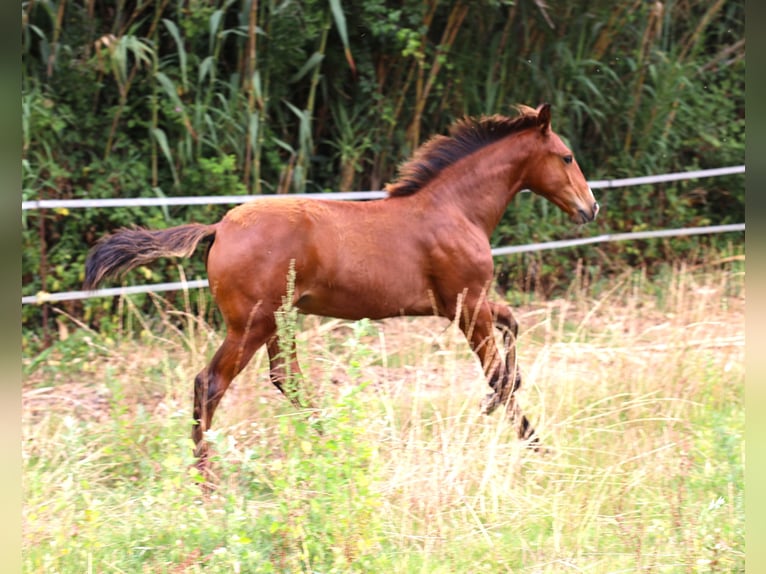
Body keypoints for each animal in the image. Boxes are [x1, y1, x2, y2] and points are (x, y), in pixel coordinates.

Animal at [84, 103, 599, 468]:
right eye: (567, 156)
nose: (591, 207)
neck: (455, 209)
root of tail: (220, 227)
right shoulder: (466, 305)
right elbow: (499, 373)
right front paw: (534, 445)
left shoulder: (469, 303)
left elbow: (514, 332)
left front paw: (504, 416)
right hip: (251, 324)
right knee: (211, 384)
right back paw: (206, 480)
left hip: (278, 320)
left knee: (285, 379)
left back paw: (335, 447)